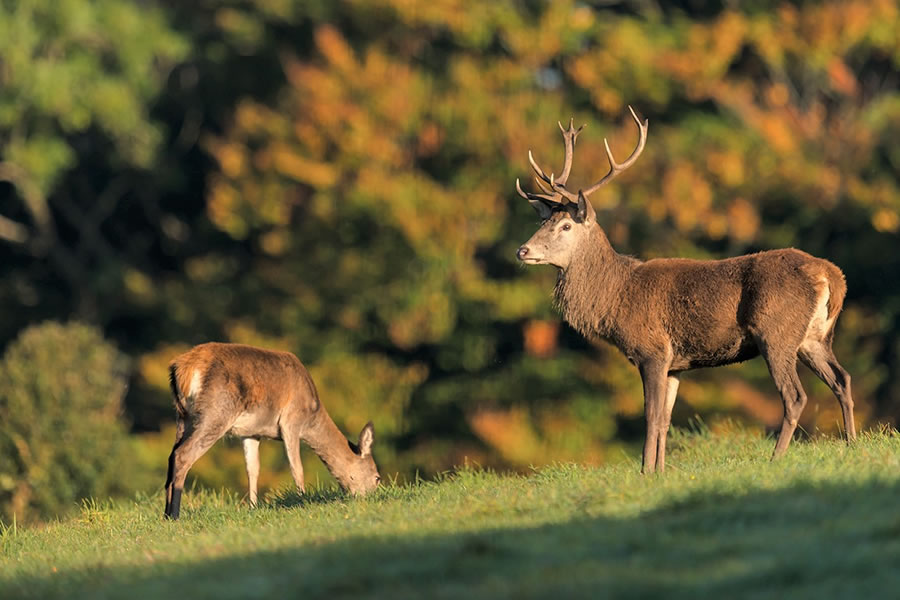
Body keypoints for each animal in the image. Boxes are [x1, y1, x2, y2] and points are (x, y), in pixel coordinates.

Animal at [163, 344, 378, 516]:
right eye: (377, 477)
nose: (374, 496)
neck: (312, 414)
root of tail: (184, 369)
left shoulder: (251, 433)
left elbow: (252, 469)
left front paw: (252, 507)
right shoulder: (291, 421)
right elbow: (296, 467)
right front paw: (302, 499)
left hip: (183, 417)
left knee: (172, 455)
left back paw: (166, 514)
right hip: (216, 412)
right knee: (183, 454)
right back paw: (175, 514)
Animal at [516, 108, 856, 474]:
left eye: (566, 226)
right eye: (542, 223)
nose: (523, 250)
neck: (616, 298)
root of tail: (832, 276)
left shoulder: (652, 350)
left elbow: (651, 417)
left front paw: (645, 472)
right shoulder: (676, 364)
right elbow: (666, 420)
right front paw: (661, 471)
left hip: (775, 332)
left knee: (794, 396)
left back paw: (776, 458)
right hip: (814, 338)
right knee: (842, 379)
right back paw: (852, 443)